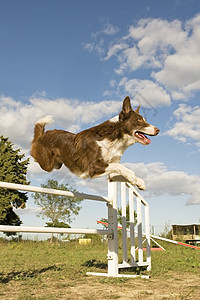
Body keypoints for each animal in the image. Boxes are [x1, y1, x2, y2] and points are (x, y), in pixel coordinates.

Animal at [30, 96, 159, 190]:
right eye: (139, 120)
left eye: (144, 119)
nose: (158, 130)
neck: (114, 140)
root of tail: (43, 135)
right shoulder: (93, 167)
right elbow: (121, 167)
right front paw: (133, 176)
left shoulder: (111, 171)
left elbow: (120, 170)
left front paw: (139, 181)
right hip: (47, 164)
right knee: (34, 156)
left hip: (57, 165)